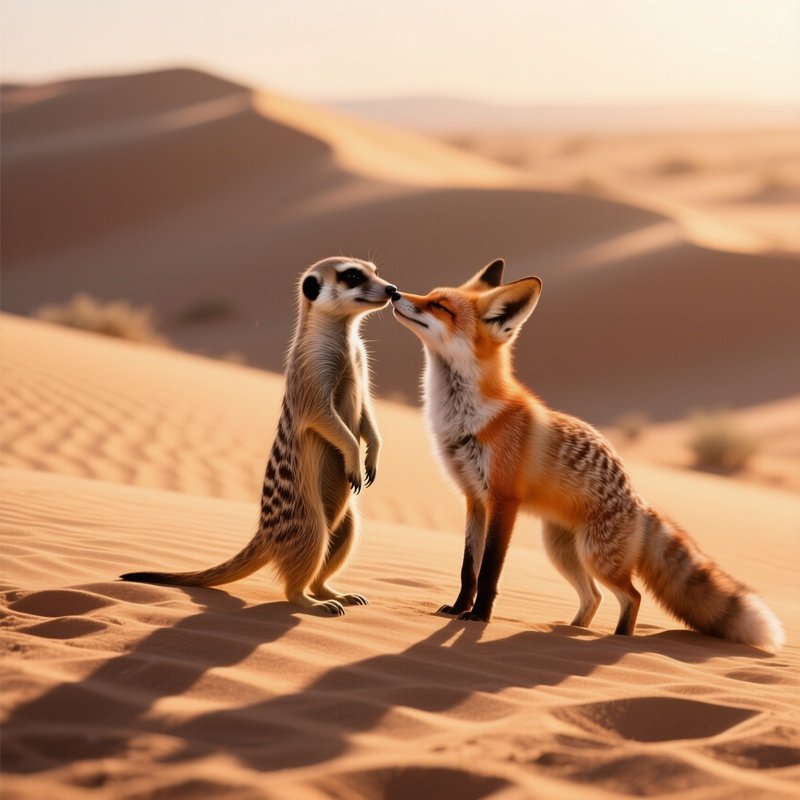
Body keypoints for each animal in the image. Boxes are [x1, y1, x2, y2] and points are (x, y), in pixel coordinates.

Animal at [390, 259, 784, 651]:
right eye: (429, 295)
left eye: (441, 306)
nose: (393, 292)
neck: (465, 418)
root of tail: (638, 502)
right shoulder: (474, 497)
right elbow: (467, 569)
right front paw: (458, 609)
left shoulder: (503, 499)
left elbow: (489, 572)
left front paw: (479, 618)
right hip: (562, 552)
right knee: (594, 597)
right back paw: (571, 631)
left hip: (596, 557)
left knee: (632, 596)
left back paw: (616, 641)